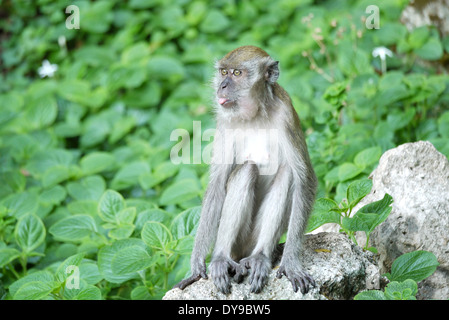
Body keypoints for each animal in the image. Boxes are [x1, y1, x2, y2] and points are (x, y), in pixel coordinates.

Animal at [173, 45, 316, 296]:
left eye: (237, 73)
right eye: (223, 72)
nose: (222, 85)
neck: (256, 114)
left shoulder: (287, 114)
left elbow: (304, 178)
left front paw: (291, 263)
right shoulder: (224, 122)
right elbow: (218, 184)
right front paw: (196, 265)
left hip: (251, 240)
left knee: (287, 173)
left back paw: (259, 257)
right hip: (239, 243)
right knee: (247, 170)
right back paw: (221, 259)